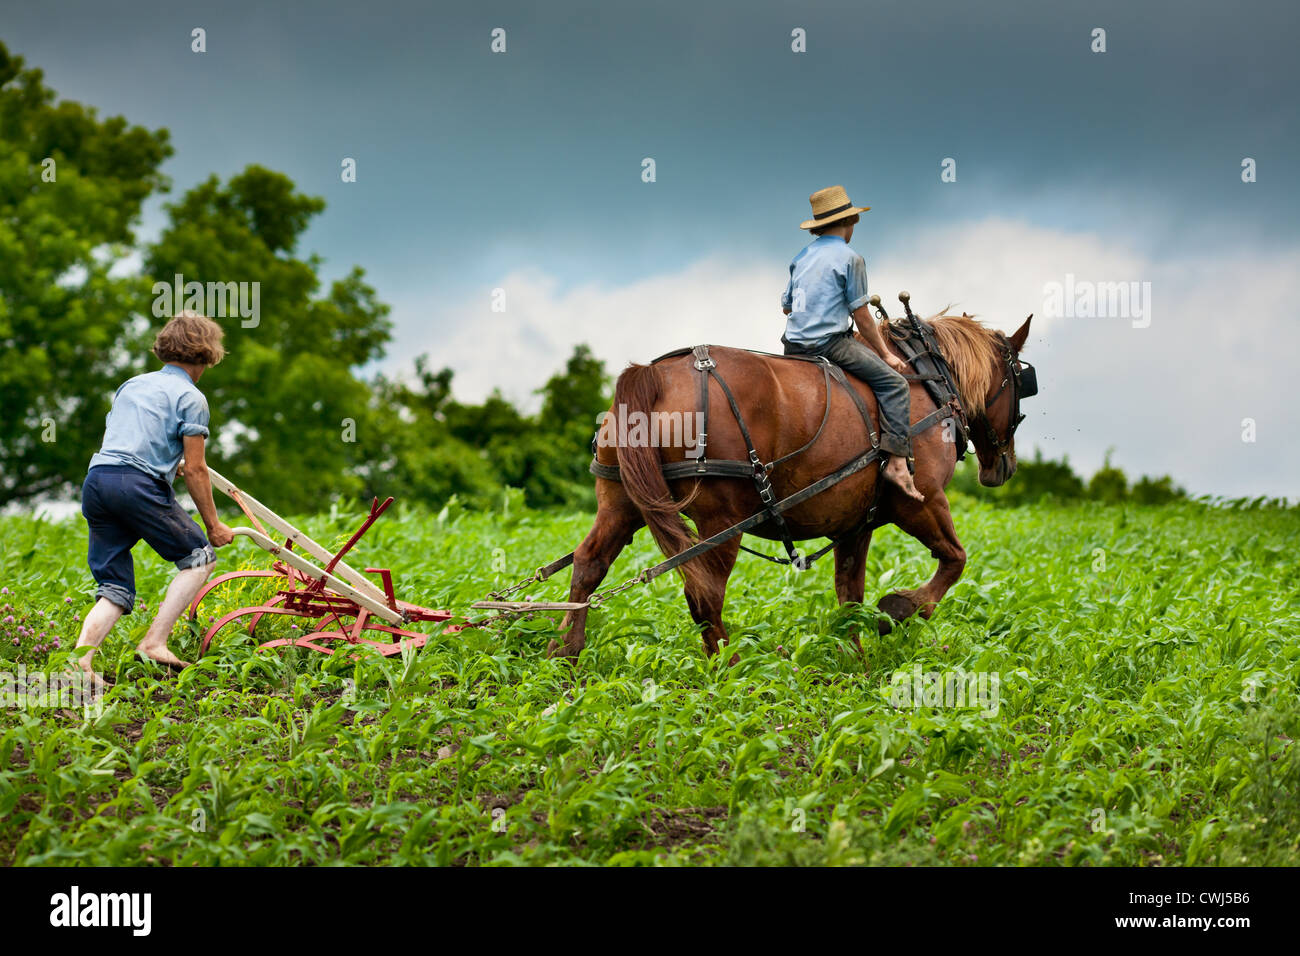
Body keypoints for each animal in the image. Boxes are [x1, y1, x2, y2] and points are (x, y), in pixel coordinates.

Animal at [548, 310, 1034, 660]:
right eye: (1020, 381)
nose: (1004, 467)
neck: (928, 382)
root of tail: (653, 374)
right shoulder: (922, 501)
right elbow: (955, 559)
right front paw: (897, 611)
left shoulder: (855, 523)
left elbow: (849, 593)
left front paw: (854, 656)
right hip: (722, 519)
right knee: (704, 593)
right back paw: (730, 667)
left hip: (620, 503)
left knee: (588, 566)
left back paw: (566, 651)